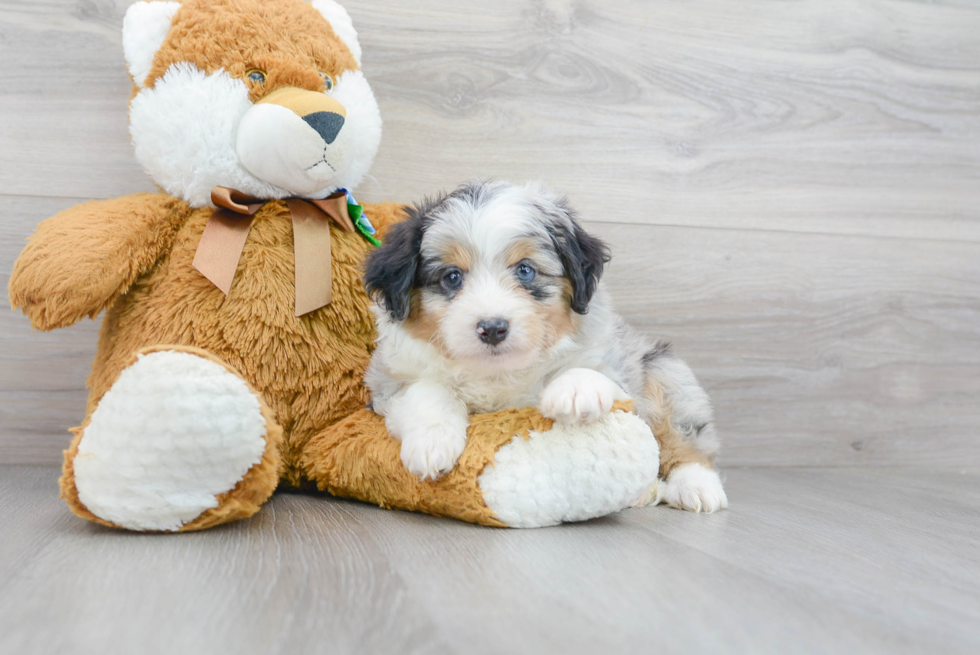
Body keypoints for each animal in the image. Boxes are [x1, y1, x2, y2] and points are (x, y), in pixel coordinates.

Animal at [362, 179, 728, 512]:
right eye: (452, 277)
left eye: (525, 271)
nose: (493, 328)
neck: (497, 372)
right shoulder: (388, 379)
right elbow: (427, 390)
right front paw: (431, 443)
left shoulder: (616, 369)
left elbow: (586, 370)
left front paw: (575, 391)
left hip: (665, 373)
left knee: (686, 440)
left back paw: (696, 488)